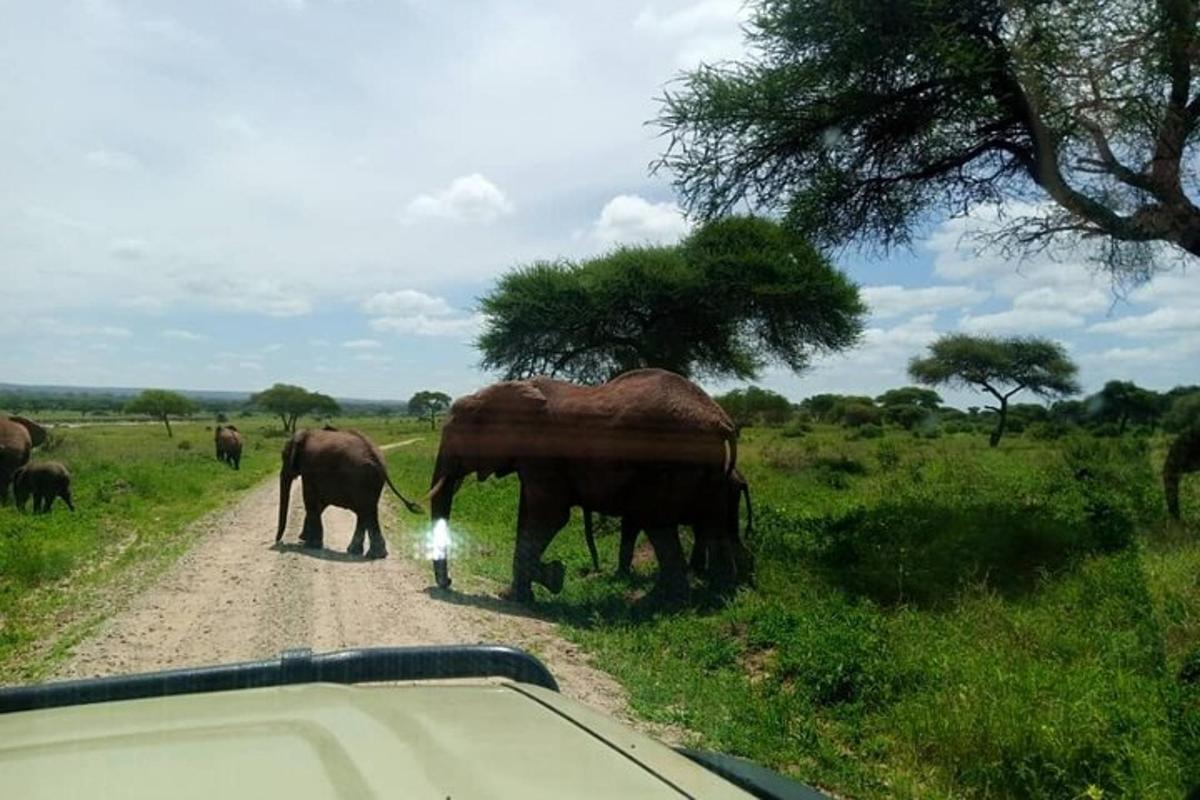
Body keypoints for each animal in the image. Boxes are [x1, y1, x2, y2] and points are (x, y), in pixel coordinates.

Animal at [274, 429, 424, 561]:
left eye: (283, 456)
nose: (278, 542)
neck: (305, 434)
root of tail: (377, 458)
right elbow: (319, 503)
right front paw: (305, 540)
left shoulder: (309, 470)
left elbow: (310, 501)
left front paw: (309, 545)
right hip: (370, 482)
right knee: (366, 511)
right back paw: (365, 553)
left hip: (361, 478)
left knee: (365, 511)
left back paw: (369, 554)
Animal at [422, 367, 739, 599]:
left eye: (457, 437)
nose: (448, 583)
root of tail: (720, 419)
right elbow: (529, 516)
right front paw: (537, 584)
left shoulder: (543, 452)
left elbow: (549, 516)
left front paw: (545, 581)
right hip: (707, 470)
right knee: (710, 522)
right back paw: (717, 594)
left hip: (672, 463)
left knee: (658, 522)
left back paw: (661, 602)